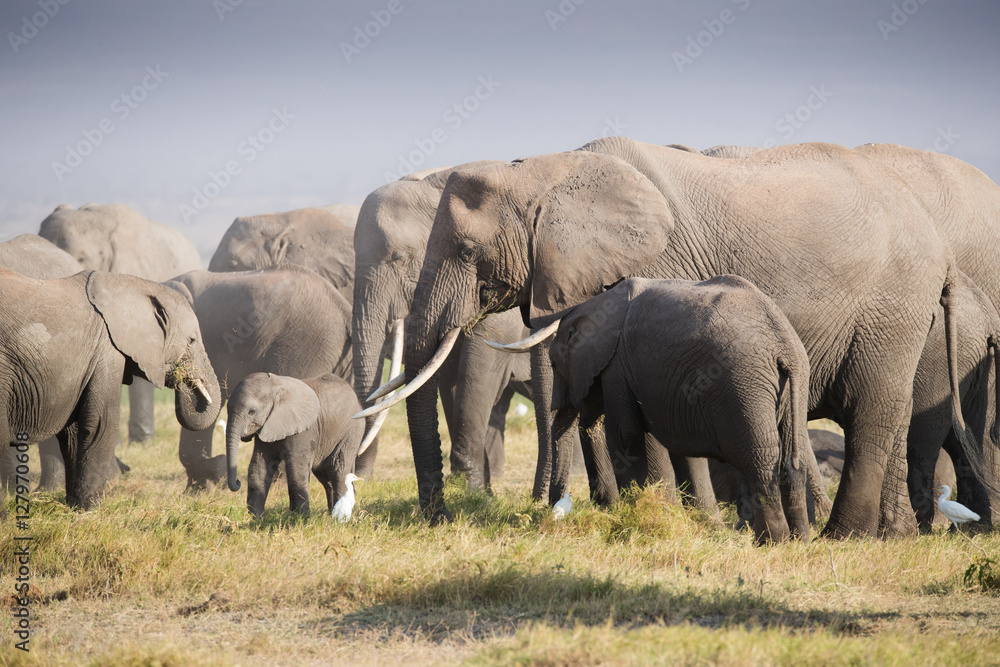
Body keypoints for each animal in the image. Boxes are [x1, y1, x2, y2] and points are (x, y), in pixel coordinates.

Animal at [0, 268, 221, 508]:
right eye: (192, 340)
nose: (182, 375)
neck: (128, 284)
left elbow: (75, 427)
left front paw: (73, 505)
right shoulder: (106, 349)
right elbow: (100, 421)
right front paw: (89, 508)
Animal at [225, 372, 364, 517]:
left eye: (251, 411)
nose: (238, 482)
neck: (276, 387)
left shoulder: (304, 429)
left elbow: (297, 469)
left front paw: (300, 518)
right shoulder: (267, 426)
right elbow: (259, 466)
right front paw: (256, 518)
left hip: (352, 431)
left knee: (338, 468)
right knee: (326, 474)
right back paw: (330, 513)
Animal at [353, 165, 581, 492]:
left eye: (399, 258)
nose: (358, 478)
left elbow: (479, 368)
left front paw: (469, 488)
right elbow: (446, 373)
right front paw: (478, 489)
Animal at [546, 276, 811, 543]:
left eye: (553, 364)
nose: (557, 508)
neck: (593, 305)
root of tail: (783, 344)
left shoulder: (617, 365)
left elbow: (625, 435)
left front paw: (631, 516)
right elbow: (683, 446)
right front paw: (705, 525)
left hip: (745, 384)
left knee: (760, 461)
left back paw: (771, 541)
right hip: (794, 384)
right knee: (793, 461)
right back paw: (798, 541)